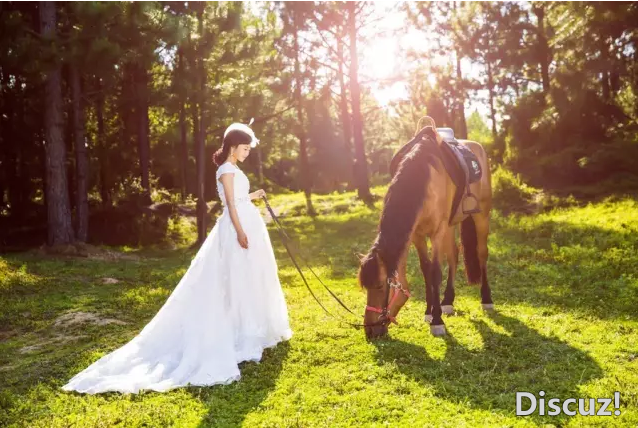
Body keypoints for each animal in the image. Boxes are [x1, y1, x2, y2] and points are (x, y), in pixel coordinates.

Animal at [360, 122, 496, 340]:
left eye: (381, 286)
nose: (370, 330)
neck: (423, 178)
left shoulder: (437, 232)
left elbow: (435, 272)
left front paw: (437, 321)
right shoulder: (417, 235)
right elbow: (425, 270)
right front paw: (429, 312)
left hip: (481, 216)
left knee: (482, 253)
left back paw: (486, 299)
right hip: (451, 225)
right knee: (454, 255)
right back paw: (447, 301)